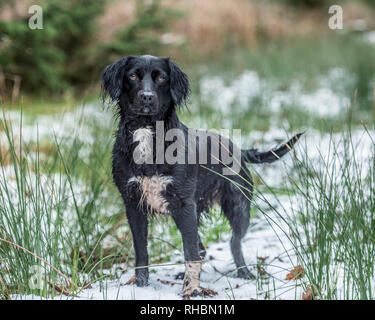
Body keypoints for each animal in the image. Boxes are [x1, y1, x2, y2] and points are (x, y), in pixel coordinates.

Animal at [101, 55, 302, 298]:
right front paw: (141, 286)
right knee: (202, 248)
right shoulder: (133, 203)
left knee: (233, 242)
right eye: (132, 76)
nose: (147, 96)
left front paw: (191, 289)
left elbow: (190, 253)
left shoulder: (184, 204)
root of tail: (238, 148)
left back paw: (244, 273)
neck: (148, 134)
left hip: (238, 207)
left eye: (161, 78)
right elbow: (142, 251)